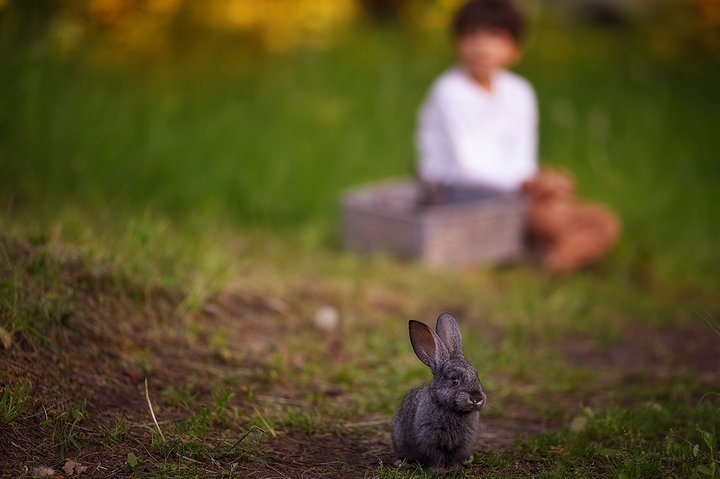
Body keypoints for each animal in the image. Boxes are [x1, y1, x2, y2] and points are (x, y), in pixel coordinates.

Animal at [392, 312, 486, 470]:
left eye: (476, 375)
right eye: (454, 381)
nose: (477, 398)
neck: (453, 410)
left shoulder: (464, 443)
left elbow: (456, 457)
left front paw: (455, 469)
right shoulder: (428, 438)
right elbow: (436, 456)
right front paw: (439, 471)